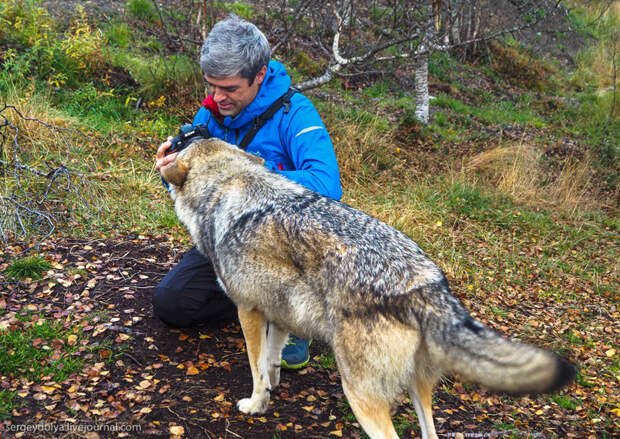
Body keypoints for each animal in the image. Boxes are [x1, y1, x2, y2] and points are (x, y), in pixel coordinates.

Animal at [161, 138, 576, 439]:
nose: (186, 130)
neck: (226, 185)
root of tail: (424, 282)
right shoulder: (280, 314)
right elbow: (271, 361)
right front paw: (273, 389)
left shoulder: (248, 311)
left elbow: (255, 366)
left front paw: (255, 405)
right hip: (417, 389)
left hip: (360, 395)